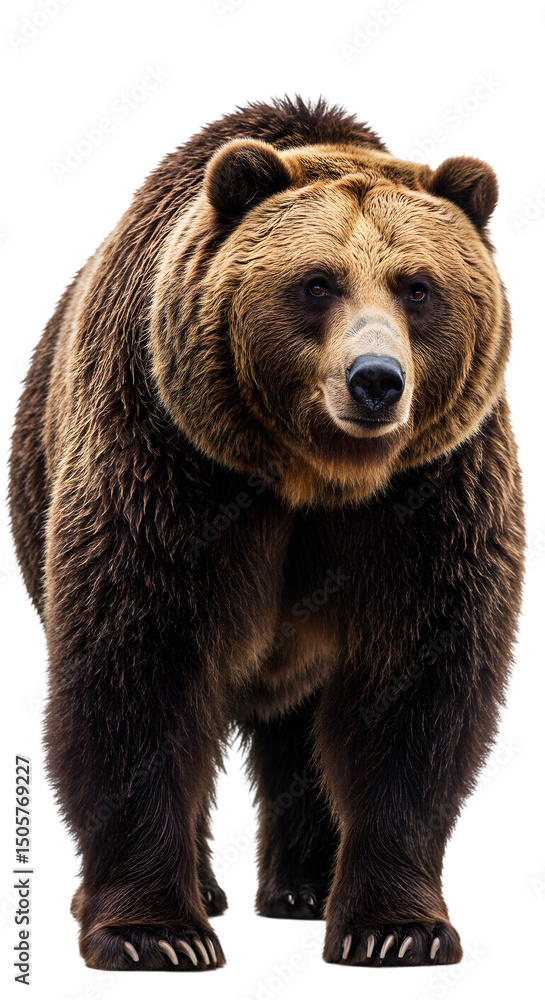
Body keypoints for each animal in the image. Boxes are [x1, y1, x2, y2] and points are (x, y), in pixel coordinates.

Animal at [9, 95, 524, 971]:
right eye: (316, 283)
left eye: (417, 287)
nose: (376, 381)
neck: (314, 473)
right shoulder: (169, 468)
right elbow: (137, 680)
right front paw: (154, 932)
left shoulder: (429, 498)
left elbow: (415, 692)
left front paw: (397, 928)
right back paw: (206, 890)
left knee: (300, 736)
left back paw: (306, 887)